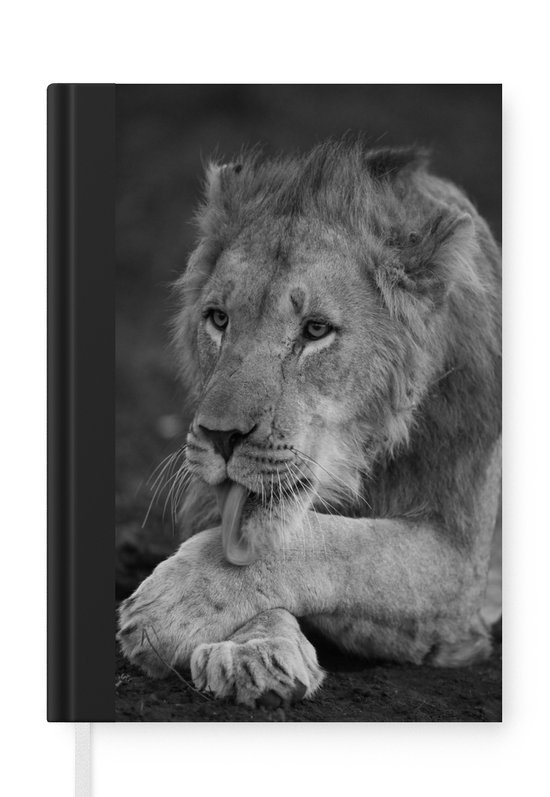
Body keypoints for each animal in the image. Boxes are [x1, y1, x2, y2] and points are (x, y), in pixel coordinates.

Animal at [118, 138, 502, 709]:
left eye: (316, 330)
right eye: (219, 319)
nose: (220, 437)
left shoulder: (460, 573)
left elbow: (345, 545)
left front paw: (175, 603)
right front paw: (255, 650)